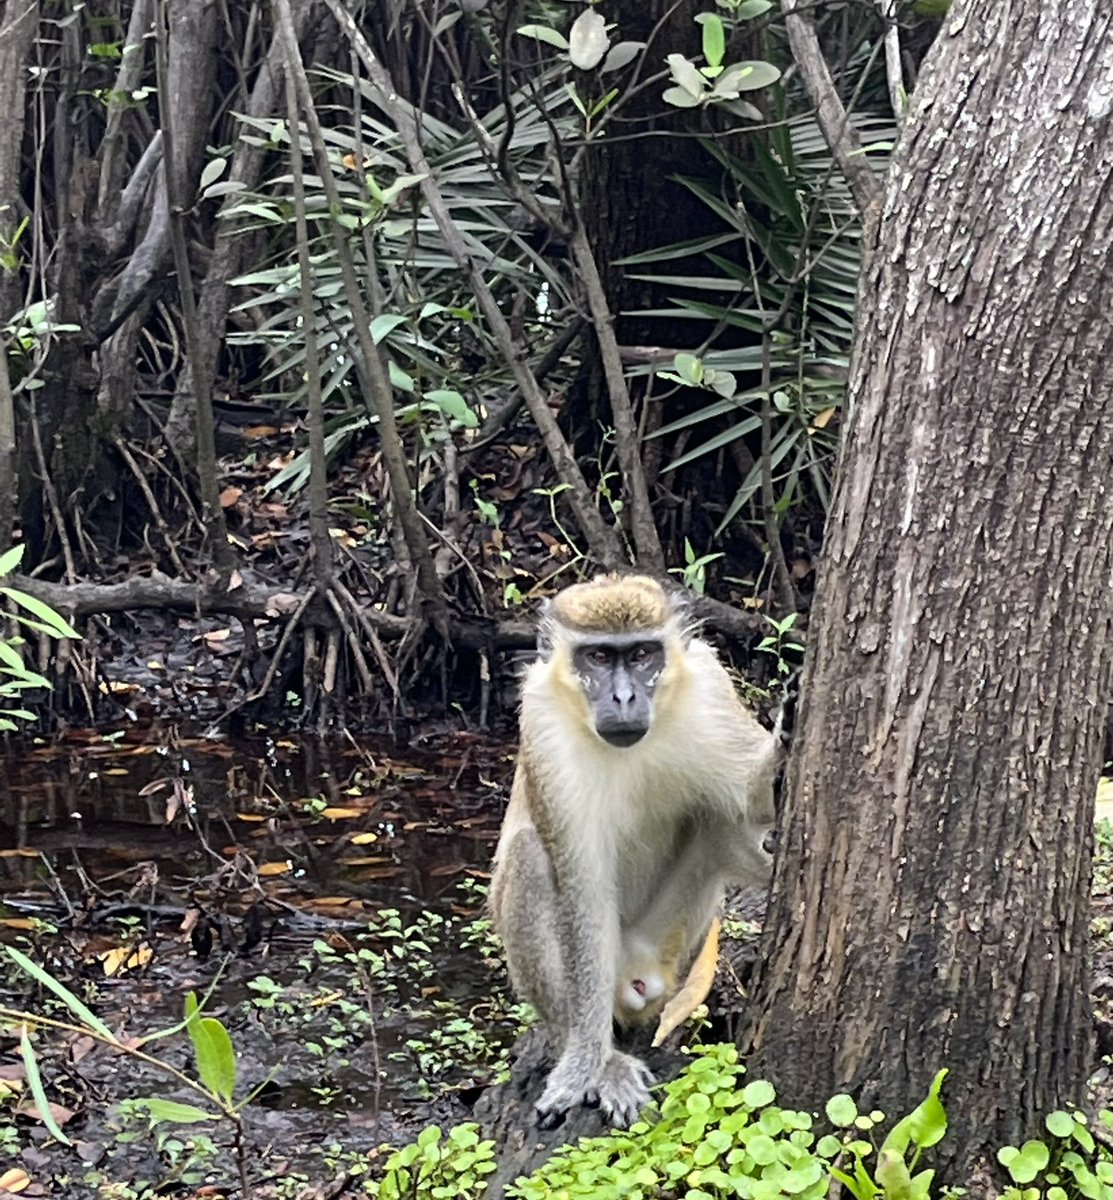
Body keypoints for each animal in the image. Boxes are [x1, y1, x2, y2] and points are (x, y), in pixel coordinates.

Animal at [489, 574, 790, 1129]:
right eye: (599, 657)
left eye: (643, 654)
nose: (625, 696)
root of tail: (637, 976)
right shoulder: (542, 723)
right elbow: (581, 888)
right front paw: (588, 1062)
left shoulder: (709, 687)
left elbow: (747, 800)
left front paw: (786, 736)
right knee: (529, 859)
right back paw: (599, 1055)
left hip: (669, 941)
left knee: (717, 818)